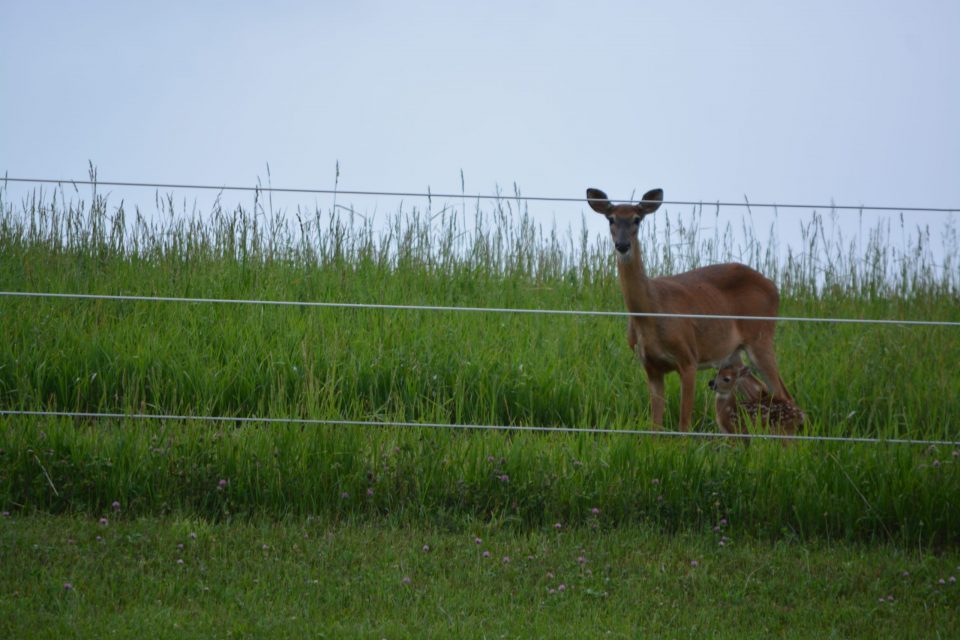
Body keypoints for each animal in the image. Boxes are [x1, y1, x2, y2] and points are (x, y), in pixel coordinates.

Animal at [588, 188, 792, 432]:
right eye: (611, 219)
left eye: (637, 219)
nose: (622, 244)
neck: (651, 313)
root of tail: (775, 288)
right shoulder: (651, 366)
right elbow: (655, 424)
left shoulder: (688, 358)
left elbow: (684, 424)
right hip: (732, 354)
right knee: (760, 388)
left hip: (761, 337)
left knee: (782, 392)